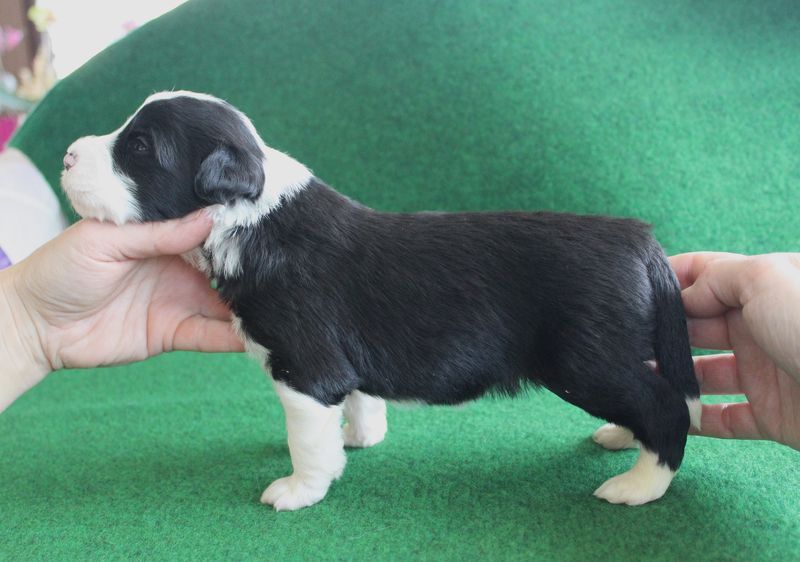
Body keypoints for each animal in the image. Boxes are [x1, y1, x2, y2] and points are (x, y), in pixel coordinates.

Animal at [61, 91, 700, 508]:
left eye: (139, 146)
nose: (66, 155)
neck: (252, 213)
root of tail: (642, 240)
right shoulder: (344, 366)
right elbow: (359, 400)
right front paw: (359, 438)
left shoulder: (304, 369)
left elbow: (306, 440)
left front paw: (299, 491)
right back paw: (623, 438)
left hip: (584, 361)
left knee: (666, 407)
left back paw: (638, 485)